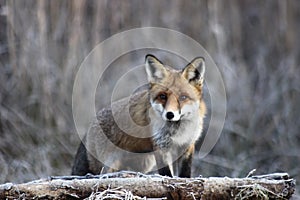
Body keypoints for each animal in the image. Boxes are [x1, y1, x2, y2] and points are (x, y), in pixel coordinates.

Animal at [71, 54, 205, 177]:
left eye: (183, 97)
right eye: (162, 96)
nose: (170, 114)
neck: (178, 130)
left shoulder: (187, 145)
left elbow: (185, 173)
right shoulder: (160, 145)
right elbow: (166, 173)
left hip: (144, 163)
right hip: (109, 164)